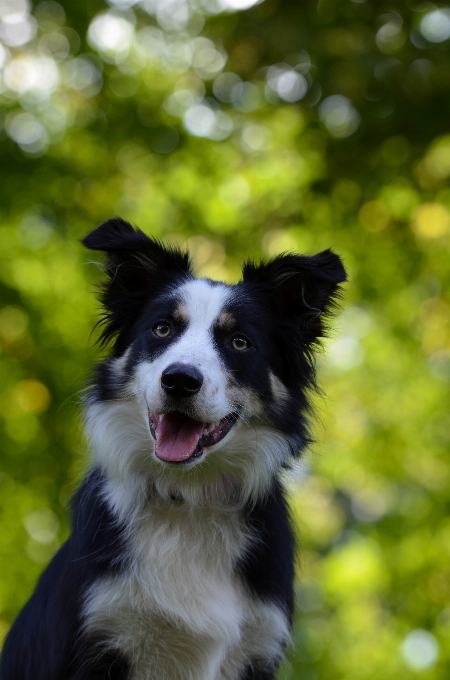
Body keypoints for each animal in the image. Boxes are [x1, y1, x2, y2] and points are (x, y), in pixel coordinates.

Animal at [0, 219, 346, 680]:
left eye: (239, 342)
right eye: (162, 329)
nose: (180, 380)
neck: (189, 499)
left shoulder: (258, 646)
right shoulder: (100, 632)